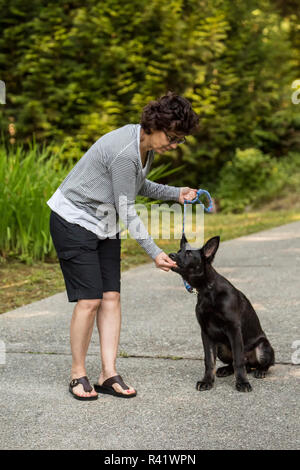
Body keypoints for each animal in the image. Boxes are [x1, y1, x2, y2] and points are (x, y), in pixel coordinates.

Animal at [169, 235, 274, 392]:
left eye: (188, 253)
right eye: (178, 251)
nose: (170, 255)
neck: (207, 290)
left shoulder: (234, 329)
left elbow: (238, 360)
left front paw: (242, 382)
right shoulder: (206, 333)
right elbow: (209, 361)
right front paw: (207, 381)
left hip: (262, 348)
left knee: (259, 363)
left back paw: (260, 371)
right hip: (220, 348)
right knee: (237, 363)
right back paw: (225, 370)